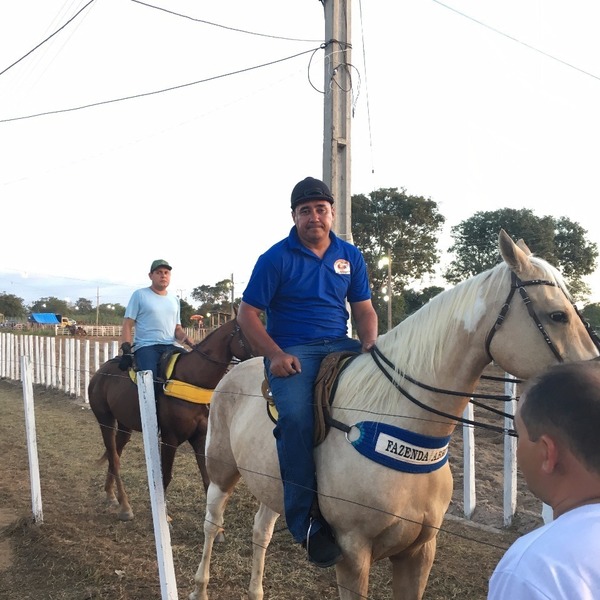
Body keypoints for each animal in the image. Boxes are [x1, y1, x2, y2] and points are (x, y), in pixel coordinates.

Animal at [86, 318, 251, 520]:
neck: (191, 379)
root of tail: (100, 373)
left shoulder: (200, 437)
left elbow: (206, 478)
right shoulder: (169, 439)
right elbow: (166, 476)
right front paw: (162, 515)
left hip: (124, 426)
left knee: (113, 454)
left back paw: (110, 494)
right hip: (106, 421)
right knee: (115, 459)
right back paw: (125, 506)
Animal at [190, 231, 600, 600]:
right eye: (558, 315)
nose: (592, 386)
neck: (396, 423)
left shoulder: (419, 552)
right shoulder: (352, 553)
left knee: (261, 530)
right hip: (222, 471)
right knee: (212, 523)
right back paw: (199, 587)